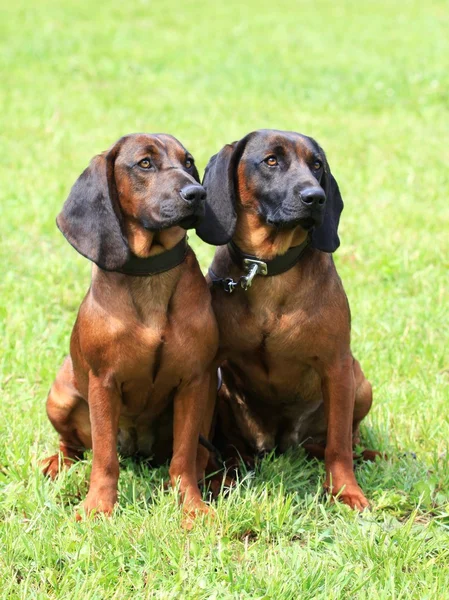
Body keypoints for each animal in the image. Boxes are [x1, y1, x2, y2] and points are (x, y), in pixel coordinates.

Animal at [43, 134, 218, 516]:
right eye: (145, 163)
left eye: (188, 162)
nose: (198, 193)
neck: (150, 273)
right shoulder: (103, 383)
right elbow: (105, 457)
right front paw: (98, 507)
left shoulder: (195, 381)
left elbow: (183, 458)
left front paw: (191, 507)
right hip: (60, 397)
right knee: (73, 445)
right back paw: (56, 463)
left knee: (199, 452)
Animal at [198, 129, 376, 508]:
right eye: (271, 160)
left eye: (317, 164)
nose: (316, 197)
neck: (268, 269)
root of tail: (282, 443)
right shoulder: (207, 368)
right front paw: (211, 480)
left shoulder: (337, 366)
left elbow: (338, 445)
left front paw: (346, 490)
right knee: (234, 446)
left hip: (359, 383)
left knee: (344, 439)